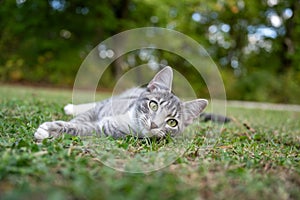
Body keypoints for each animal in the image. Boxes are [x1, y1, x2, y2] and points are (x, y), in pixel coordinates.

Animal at [34, 66, 207, 140]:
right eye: (153, 105)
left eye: (172, 122)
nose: (154, 125)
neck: (128, 119)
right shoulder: (101, 110)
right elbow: (82, 118)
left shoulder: (103, 130)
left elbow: (82, 128)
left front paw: (53, 130)